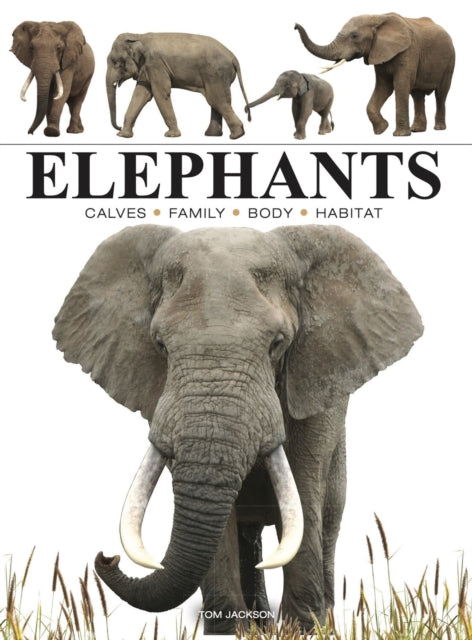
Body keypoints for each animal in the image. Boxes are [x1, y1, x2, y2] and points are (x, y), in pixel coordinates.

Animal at [53, 224, 423, 633]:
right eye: (160, 345)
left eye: (278, 343)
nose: (106, 557)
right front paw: (230, 630)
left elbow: (304, 488)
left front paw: (302, 628)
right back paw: (260, 621)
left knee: (327, 518)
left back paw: (320, 615)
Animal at [106, 33, 251, 139]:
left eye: (115, 62)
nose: (118, 127)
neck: (138, 36)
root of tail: (233, 57)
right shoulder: (147, 69)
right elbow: (141, 94)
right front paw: (123, 136)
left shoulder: (156, 65)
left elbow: (161, 93)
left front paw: (171, 136)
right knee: (217, 101)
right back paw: (213, 135)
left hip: (216, 75)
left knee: (217, 100)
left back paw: (236, 135)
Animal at [295, 14, 455, 136]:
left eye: (355, 36)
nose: (295, 25)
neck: (378, 17)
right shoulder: (378, 52)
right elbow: (384, 87)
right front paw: (382, 130)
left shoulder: (409, 51)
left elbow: (400, 85)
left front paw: (400, 135)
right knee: (417, 95)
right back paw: (417, 130)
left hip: (449, 61)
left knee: (441, 94)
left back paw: (439, 128)